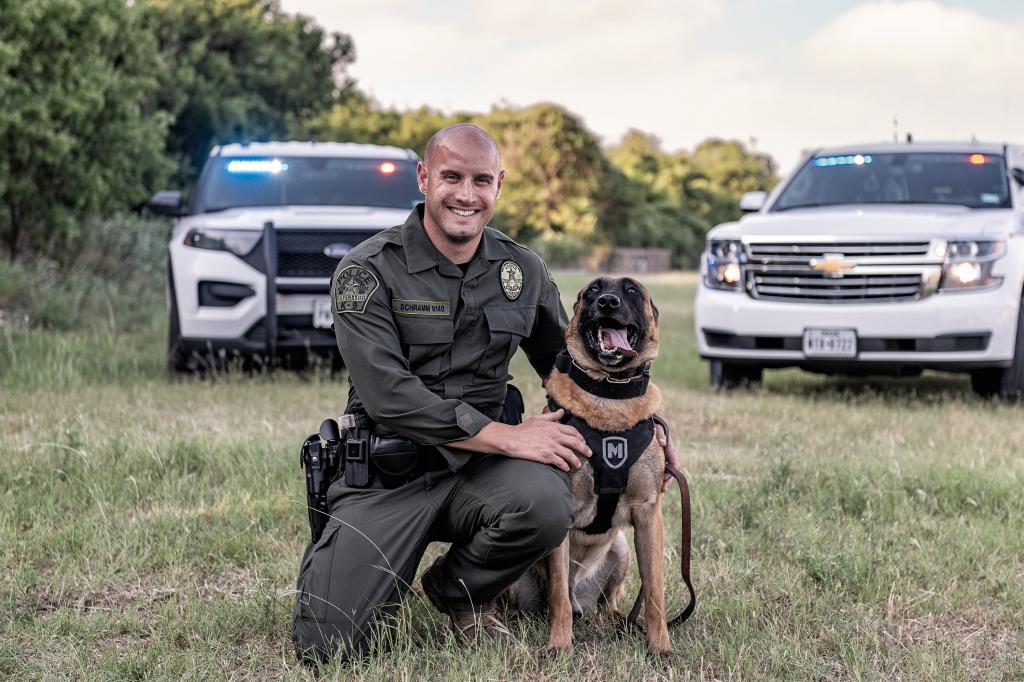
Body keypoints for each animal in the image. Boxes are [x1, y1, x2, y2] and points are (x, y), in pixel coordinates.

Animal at [501, 274, 684, 655]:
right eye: (594, 290)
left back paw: (619, 621)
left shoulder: (649, 515)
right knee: (554, 597)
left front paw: (660, 648)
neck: (608, 395)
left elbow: (654, 592)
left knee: (609, 602)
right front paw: (559, 646)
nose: (608, 303)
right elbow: (558, 594)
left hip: (621, 550)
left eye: (631, 290)